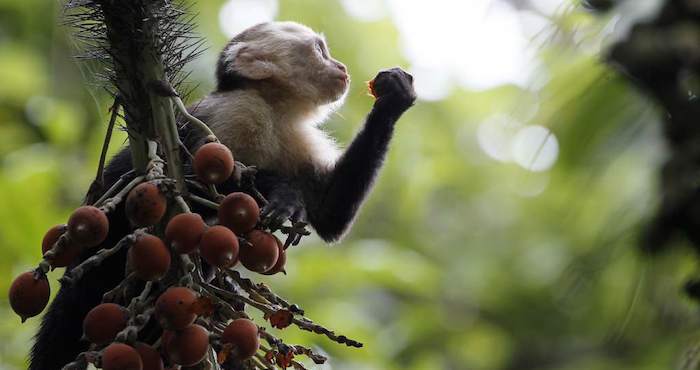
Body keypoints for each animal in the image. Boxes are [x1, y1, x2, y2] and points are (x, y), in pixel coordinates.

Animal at [31, 21, 416, 370]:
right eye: (320, 50)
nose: (342, 68)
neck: (274, 109)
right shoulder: (234, 113)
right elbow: (189, 182)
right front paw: (284, 195)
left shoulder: (298, 139)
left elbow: (329, 216)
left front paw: (394, 99)